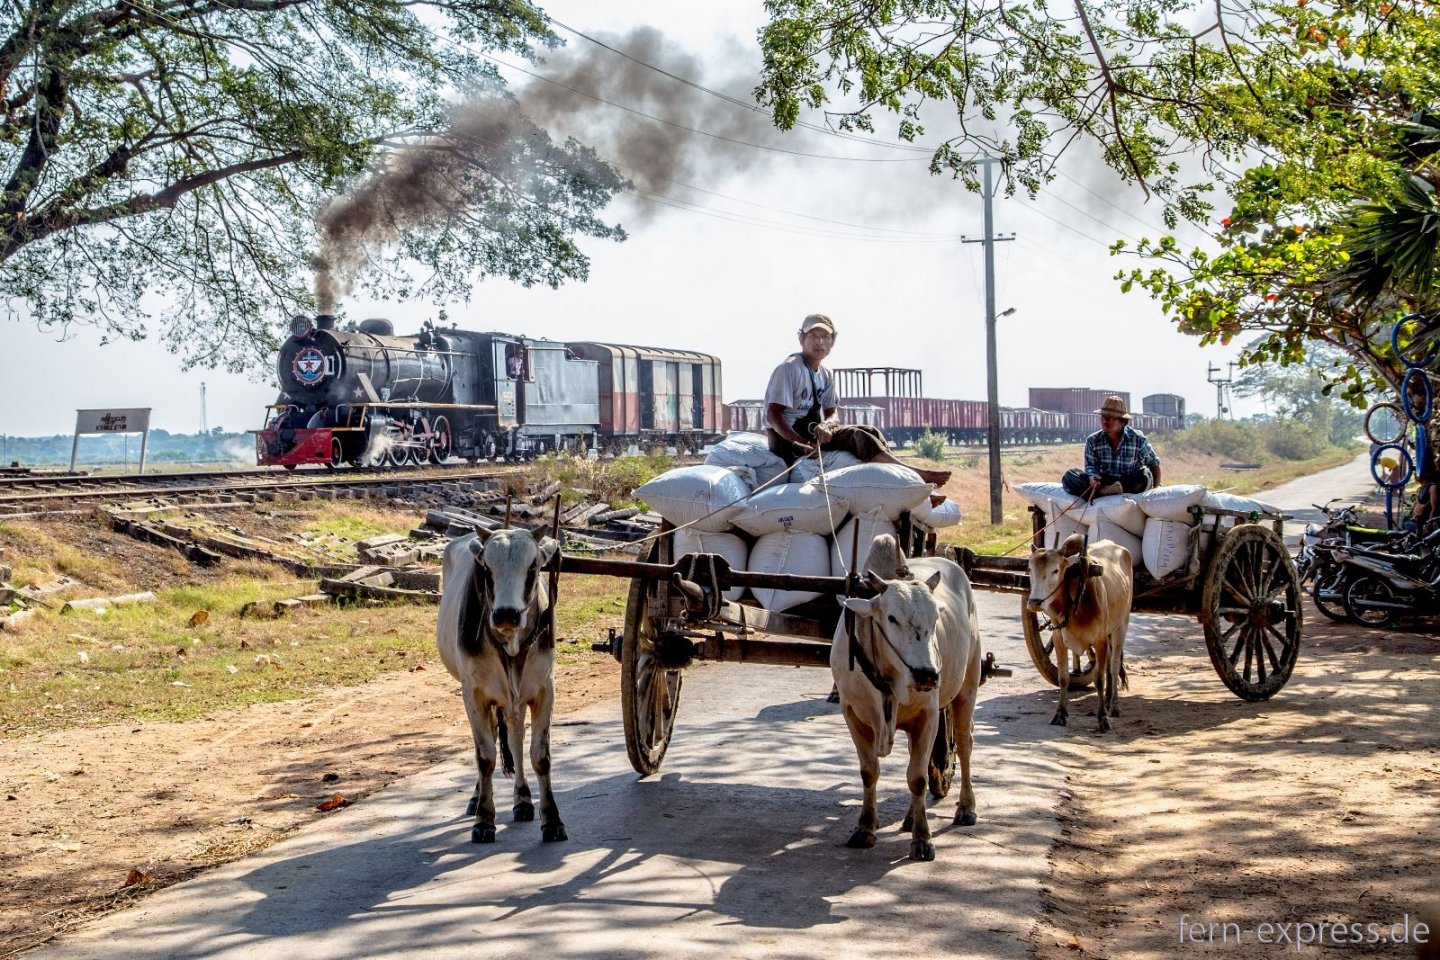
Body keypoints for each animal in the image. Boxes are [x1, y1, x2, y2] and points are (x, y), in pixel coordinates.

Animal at [437, 526, 567, 844]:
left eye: (533, 567)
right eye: (487, 568)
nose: (507, 614)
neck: (510, 645)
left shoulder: (545, 689)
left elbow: (540, 756)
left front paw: (552, 820)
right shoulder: (473, 695)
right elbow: (485, 757)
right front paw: (484, 820)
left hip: (516, 700)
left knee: (516, 736)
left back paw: (522, 799)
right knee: (495, 738)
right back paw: (477, 799)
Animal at [831, 534, 983, 862]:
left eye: (936, 617)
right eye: (891, 618)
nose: (927, 674)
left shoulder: (929, 715)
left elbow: (918, 779)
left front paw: (922, 840)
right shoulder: (852, 714)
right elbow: (869, 772)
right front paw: (865, 828)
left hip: (968, 686)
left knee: (964, 744)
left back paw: (966, 807)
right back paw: (912, 817)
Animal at [1026, 533, 1133, 732]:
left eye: (1055, 571)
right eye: (1029, 569)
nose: (1034, 602)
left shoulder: (1100, 639)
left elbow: (1099, 679)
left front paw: (1102, 717)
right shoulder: (1059, 638)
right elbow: (1063, 677)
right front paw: (1060, 714)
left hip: (1121, 626)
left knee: (1114, 666)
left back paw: (1113, 705)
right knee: (1108, 664)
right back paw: (1107, 699)